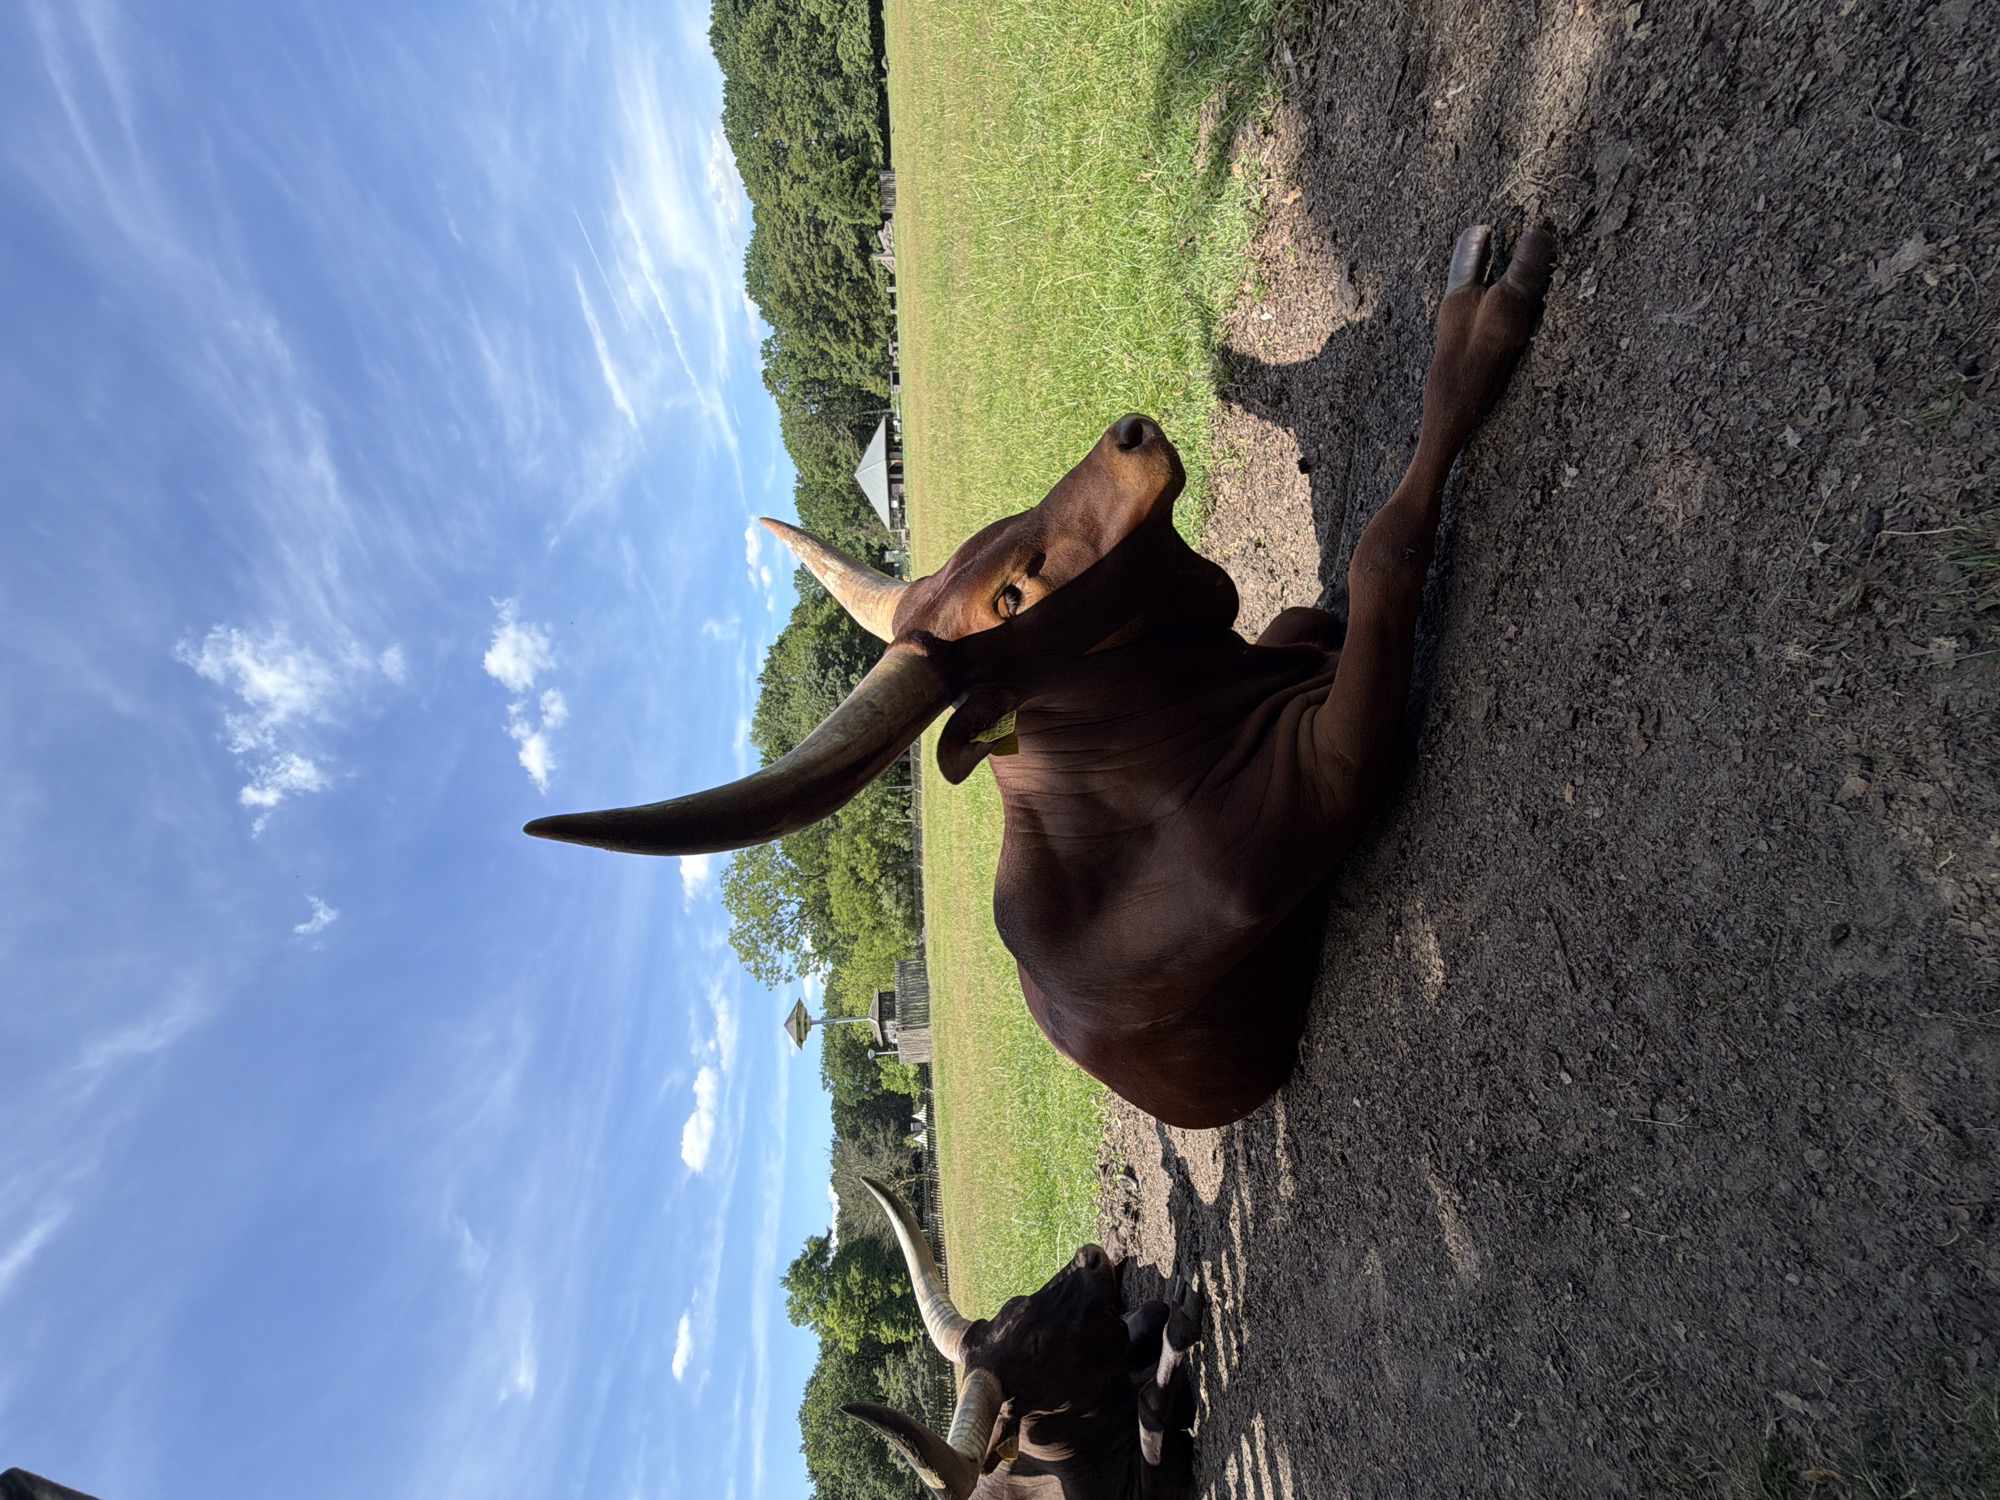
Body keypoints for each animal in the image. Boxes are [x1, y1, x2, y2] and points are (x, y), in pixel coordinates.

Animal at [526, 223, 1555, 1126]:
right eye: (1014, 596)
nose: (1130, 433)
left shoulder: (1297, 652)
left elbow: (1333, 595)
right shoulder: (1334, 775)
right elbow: (1385, 544)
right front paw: (1482, 310)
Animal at [845, 1176, 1203, 1500]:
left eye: (1016, 1301)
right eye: (1036, 1345)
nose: (1090, 1257)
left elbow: (1149, 1315)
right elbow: (1151, 1399)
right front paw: (1181, 1320)